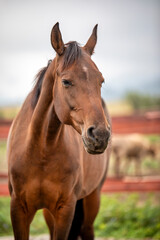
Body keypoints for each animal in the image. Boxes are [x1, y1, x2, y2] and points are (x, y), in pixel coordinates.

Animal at [7, 22, 111, 238]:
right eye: (66, 81)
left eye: (101, 81)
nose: (100, 135)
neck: (41, 150)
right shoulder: (19, 209)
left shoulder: (65, 209)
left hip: (92, 198)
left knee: (87, 229)